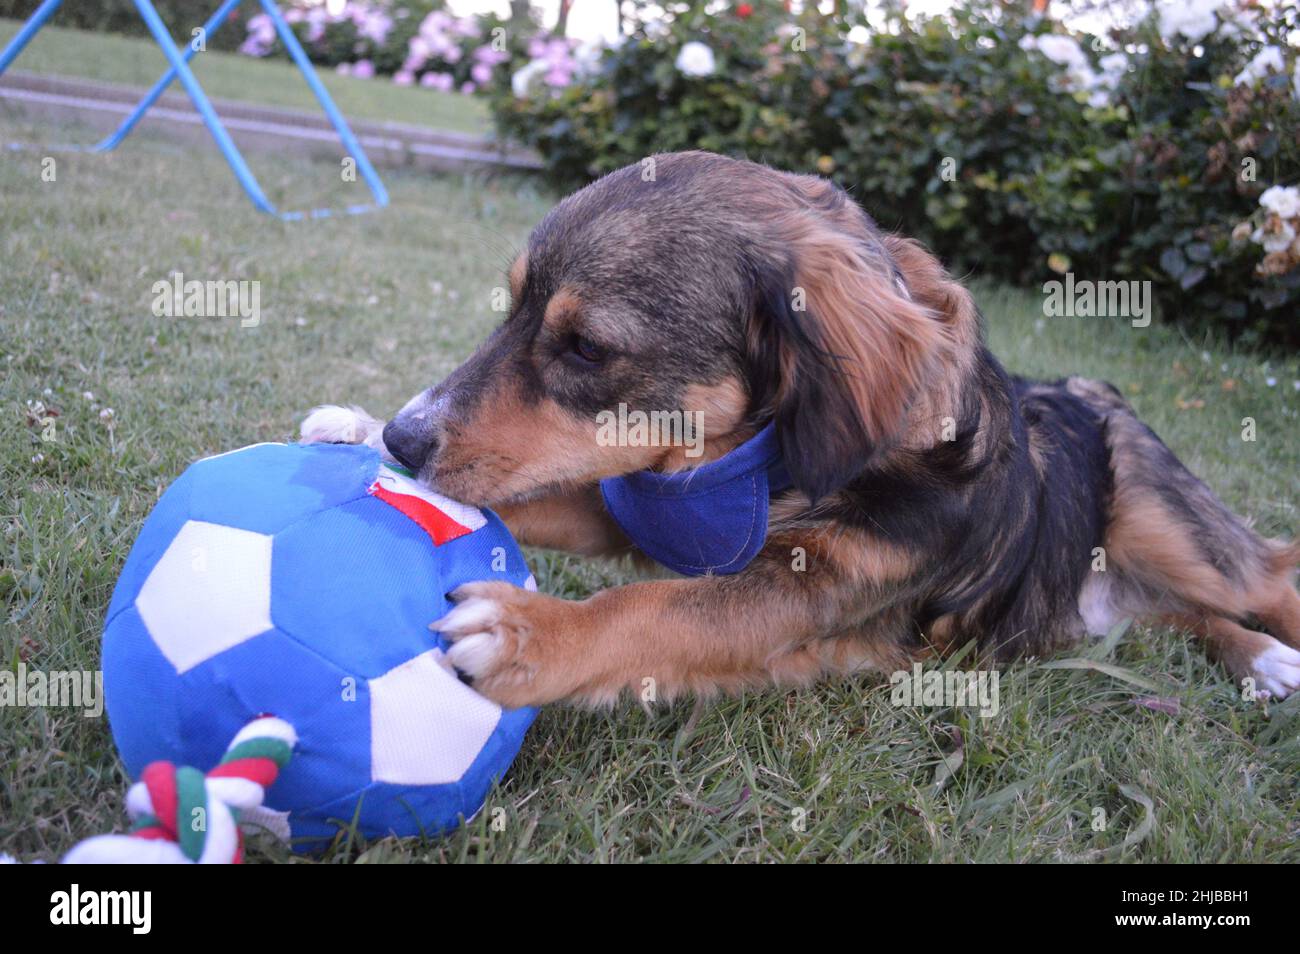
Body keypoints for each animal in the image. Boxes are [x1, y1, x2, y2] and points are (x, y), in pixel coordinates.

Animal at [299, 151, 1300, 712]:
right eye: (511, 308)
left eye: (586, 347)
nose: (407, 437)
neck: (758, 470)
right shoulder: (643, 505)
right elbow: (561, 496)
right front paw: (355, 435)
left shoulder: (815, 588)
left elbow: (660, 609)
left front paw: (533, 633)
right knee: (1168, 614)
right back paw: (1254, 660)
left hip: (1162, 522)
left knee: (1263, 575)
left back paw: (1270, 654)